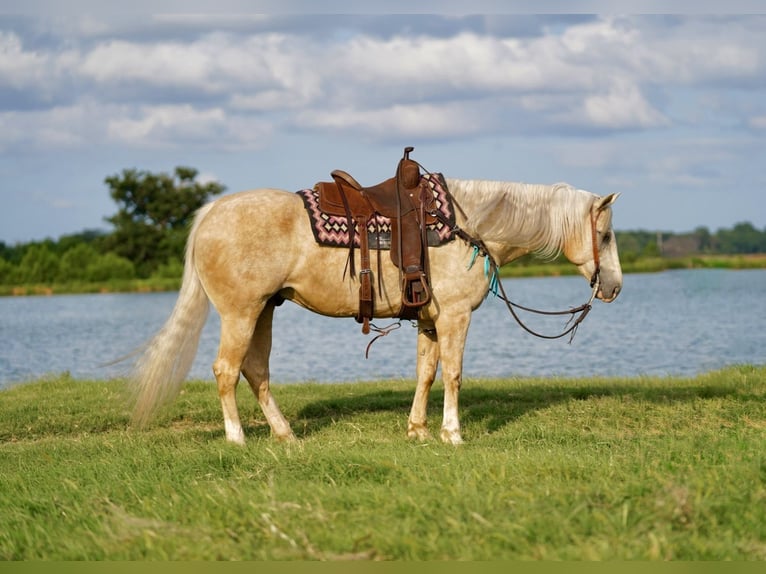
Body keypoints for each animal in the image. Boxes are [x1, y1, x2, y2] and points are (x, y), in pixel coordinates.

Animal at [130, 178, 624, 448]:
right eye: (605, 235)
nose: (615, 287)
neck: (467, 227)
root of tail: (212, 212)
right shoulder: (455, 317)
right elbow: (453, 374)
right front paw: (453, 433)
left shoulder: (429, 321)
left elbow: (426, 373)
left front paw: (418, 430)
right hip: (240, 313)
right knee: (226, 370)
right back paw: (236, 437)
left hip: (264, 310)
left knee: (255, 371)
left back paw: (285, 435)